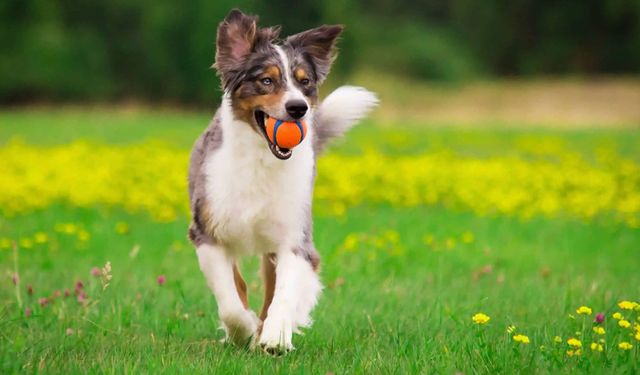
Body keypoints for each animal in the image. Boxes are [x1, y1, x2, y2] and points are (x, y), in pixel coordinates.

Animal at [188, 9, 378, 356]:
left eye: (305, 83)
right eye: (266, 80)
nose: (298, 108)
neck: (262, 160)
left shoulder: (295, 238)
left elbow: (284, 293)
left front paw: (275, 336)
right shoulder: (208, 232)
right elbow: (230, 301)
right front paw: (244, 331)